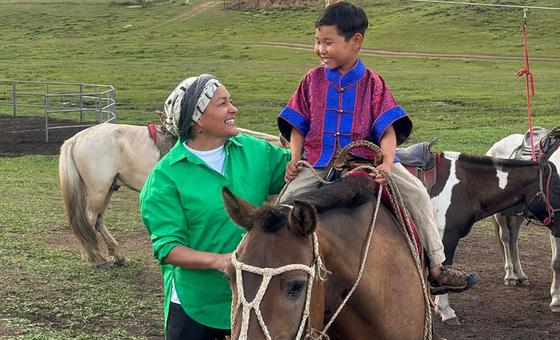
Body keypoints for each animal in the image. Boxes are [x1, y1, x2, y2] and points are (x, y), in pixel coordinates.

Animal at [59, 122, 282, 268]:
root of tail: (76, 139)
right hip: (98, 188)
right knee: (88, 220)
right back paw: (95, 258)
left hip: (108, 188)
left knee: (97, 220)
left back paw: (116, 255)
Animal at [486, 131, 560, 312]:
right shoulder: (555, 226)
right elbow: (557, 262)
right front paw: (556, 299)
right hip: (500, 214)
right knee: (506, 238)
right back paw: (510, 276)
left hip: (518, 214)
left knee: (513, 239)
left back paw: (520, 275)